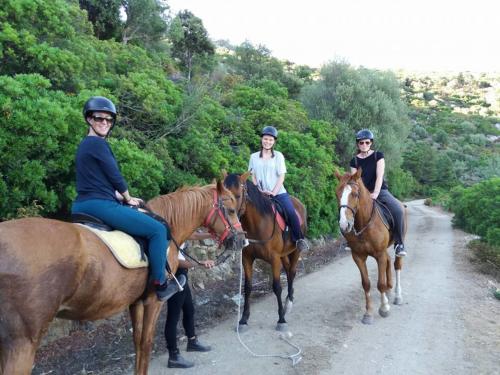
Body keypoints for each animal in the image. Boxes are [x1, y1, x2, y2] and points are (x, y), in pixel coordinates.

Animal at [0, 181, 244, 374]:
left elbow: (136, 343)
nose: (241, 239)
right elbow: (146, 343)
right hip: (21, 344)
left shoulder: (135, 302)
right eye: (231, 210)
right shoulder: (153, 301)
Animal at [224, 172, 308, 330]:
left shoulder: (274, 259)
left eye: (237, 196)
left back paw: (289, 302)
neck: (258, 226)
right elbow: (247, 287)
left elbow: (276, 287)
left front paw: (281, 319)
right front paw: (243, 319)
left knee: (292, 271)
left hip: (295, 251)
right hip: (284, 254)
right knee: (289, 271)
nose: (228, 221)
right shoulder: (247, 258)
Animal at [334, 172, 404, 324]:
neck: (364, 224)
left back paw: (397, 296)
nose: (344, 225)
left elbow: (380, 283)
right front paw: (368, 313)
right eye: (337, 193)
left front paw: (384, 308)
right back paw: (389, 291)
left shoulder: (379, 255)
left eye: (355, 194)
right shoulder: (358, 257)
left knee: (397, 265)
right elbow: (366, 283)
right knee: (389, 261)